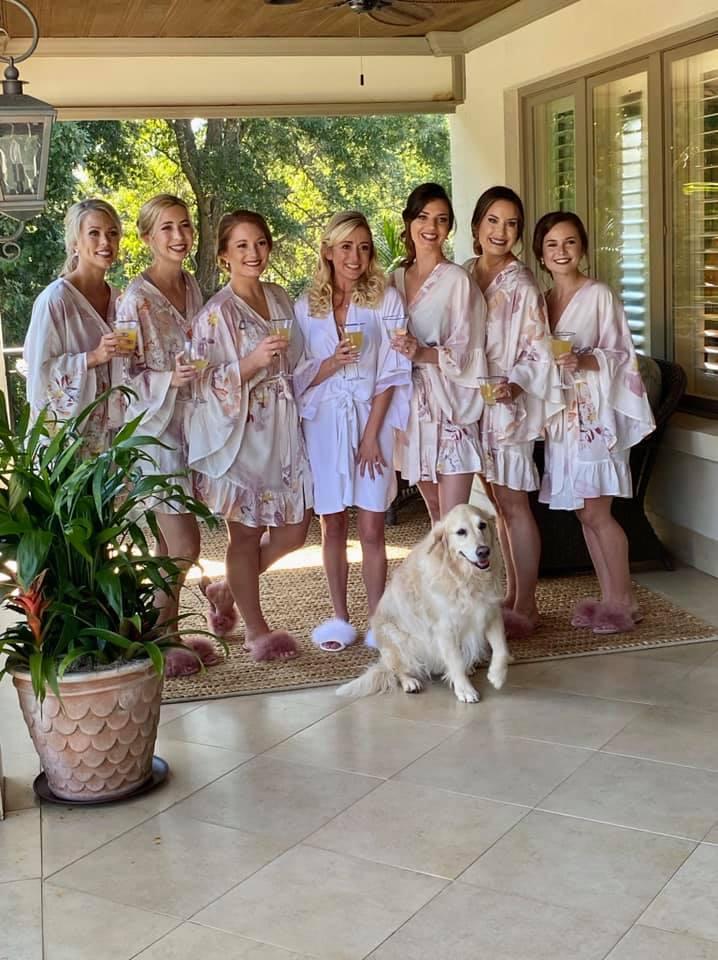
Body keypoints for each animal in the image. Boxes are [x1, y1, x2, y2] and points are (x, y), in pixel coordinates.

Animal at [337, 503, 509, 703]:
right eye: (461, 532)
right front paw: (465, 689)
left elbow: (501, 648)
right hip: (397, 637)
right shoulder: (445, 628)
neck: (465, 577)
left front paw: (497, 675)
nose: (483, 551)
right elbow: (455, 661)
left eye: (482, 525)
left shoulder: (490, 610)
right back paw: (410, 682)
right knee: (398, 669)